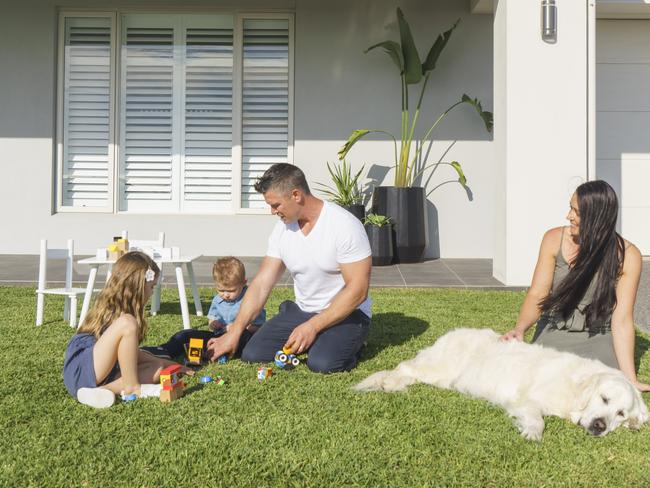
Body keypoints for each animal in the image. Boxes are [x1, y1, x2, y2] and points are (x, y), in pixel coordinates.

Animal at [356, 330, 644, 440]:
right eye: (604, 398)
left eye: (621, 413)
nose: (600, 426)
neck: (574, 392)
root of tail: (448, 333)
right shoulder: (527, 399)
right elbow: (538, 419)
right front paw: (532, 432)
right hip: (439, 368)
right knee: (404, 367)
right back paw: (389, 383)